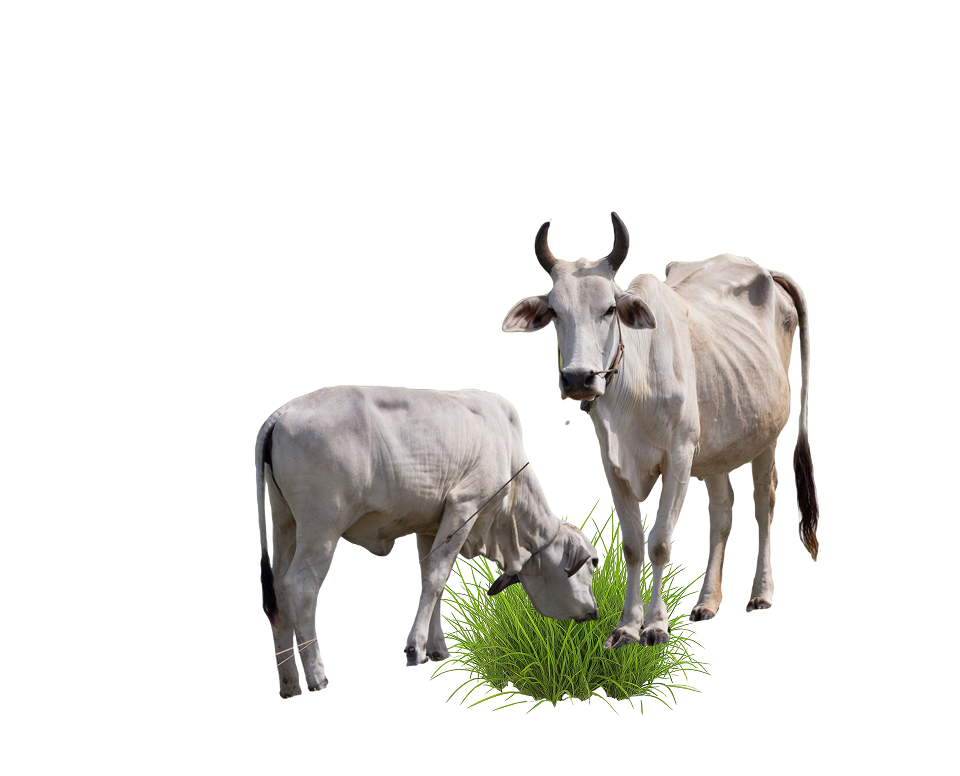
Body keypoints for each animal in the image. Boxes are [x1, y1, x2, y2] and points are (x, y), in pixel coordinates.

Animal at [256, 385, 599, 698]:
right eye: (587, 569)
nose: (594, 612)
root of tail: (282, 413)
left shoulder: (431, 526)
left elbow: (432, 579)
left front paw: (437, 650)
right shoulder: (465, 505)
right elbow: (436, 576)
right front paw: (415, 648)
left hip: (286, 526)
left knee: (278, 593)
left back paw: (289, 683)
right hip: (321, 530)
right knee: (300, 587)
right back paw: (317, 676)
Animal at [501, 213, 818, 648]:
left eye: (609, 309)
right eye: (555, 313)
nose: (579, 378)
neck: (634, 387)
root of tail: (764, 271)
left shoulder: (678, 459)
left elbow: (661, 544)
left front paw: (655, 625)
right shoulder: (614, 466)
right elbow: (635, 547)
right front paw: (626, 626)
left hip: (766, 437)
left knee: (763, 503)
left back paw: (760, 593)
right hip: (717, 446)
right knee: (722, 512)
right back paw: (708, 602)